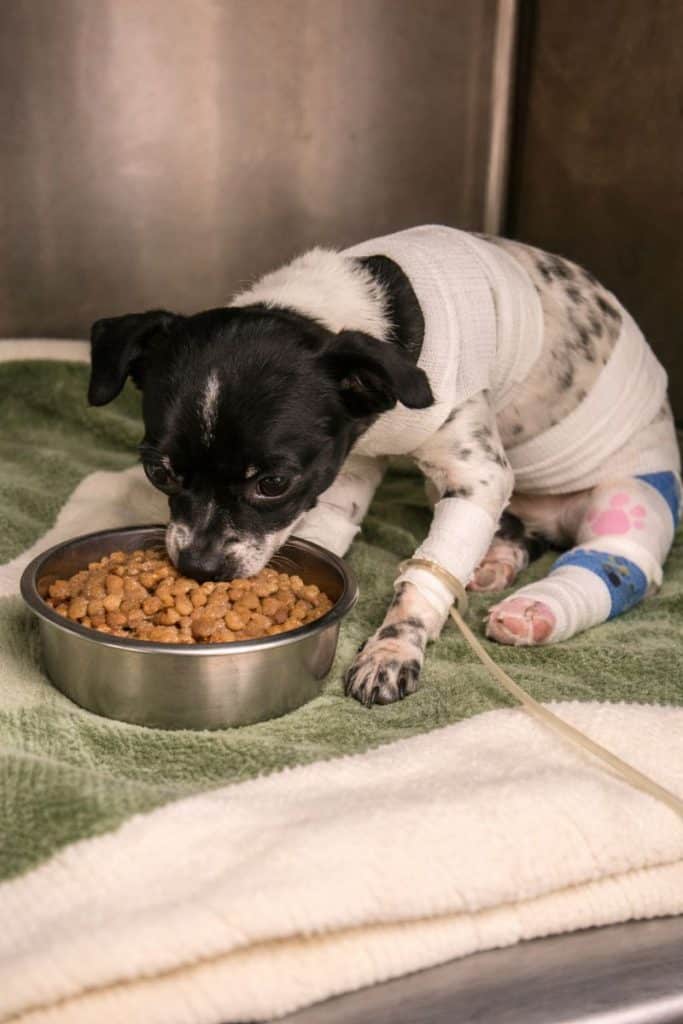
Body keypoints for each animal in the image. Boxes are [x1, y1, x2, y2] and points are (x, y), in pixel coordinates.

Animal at [88, 226, 681, 706]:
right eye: (160, 473)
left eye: (273, 484)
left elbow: (423, 578)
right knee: (520, 533)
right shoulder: (351, 465)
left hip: (629, 495)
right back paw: (493, 563)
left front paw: (391, 652)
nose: (199, 568)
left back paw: (536, 612)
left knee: (615, 558)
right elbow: (327, 532)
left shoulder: (477, 479)